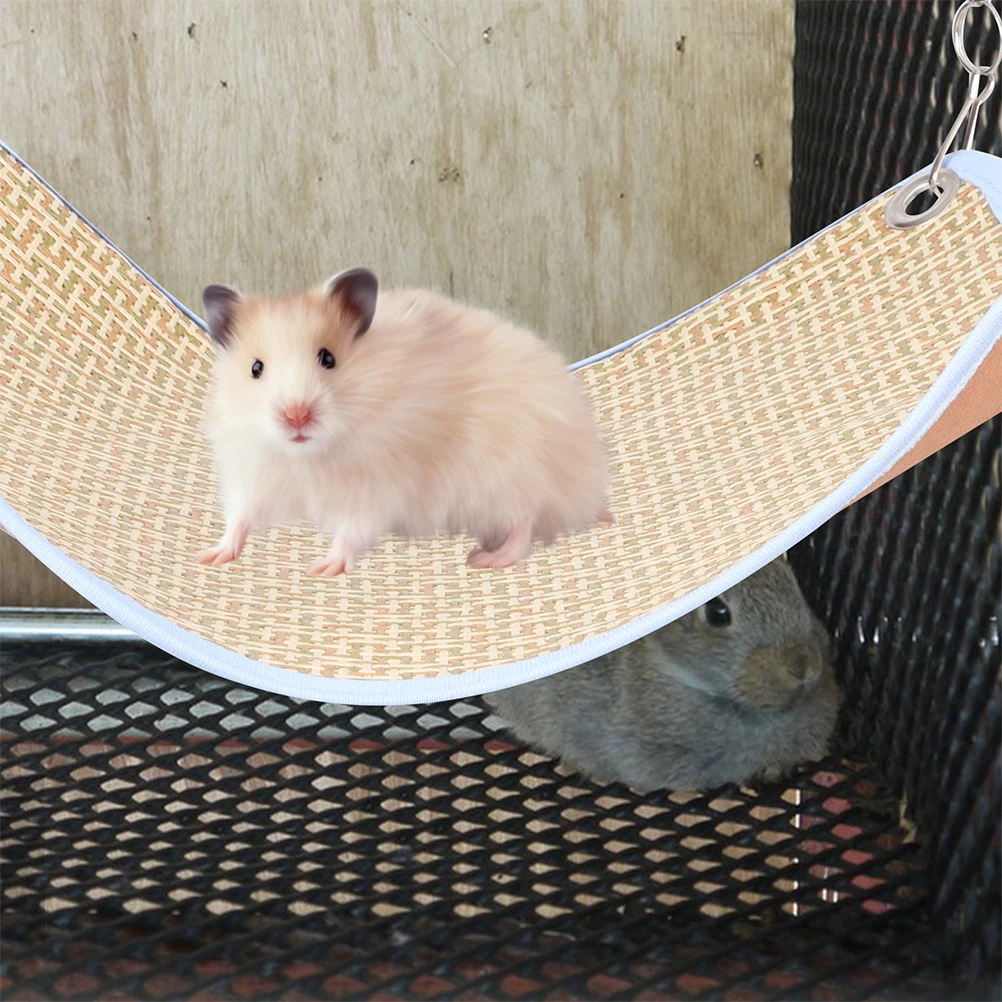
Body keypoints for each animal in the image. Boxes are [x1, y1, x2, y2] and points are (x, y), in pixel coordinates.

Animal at [196, 268, 612, 575]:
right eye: (256, 368)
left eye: (328, 358)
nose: (296, 415)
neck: (309, 455)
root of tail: (587, 489)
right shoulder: (254, 474)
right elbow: (240, 517)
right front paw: (211, 555)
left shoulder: (376, 487)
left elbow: (351, 530)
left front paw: (323, 568)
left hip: (511, 473)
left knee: (525, 524)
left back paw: (485, 559)